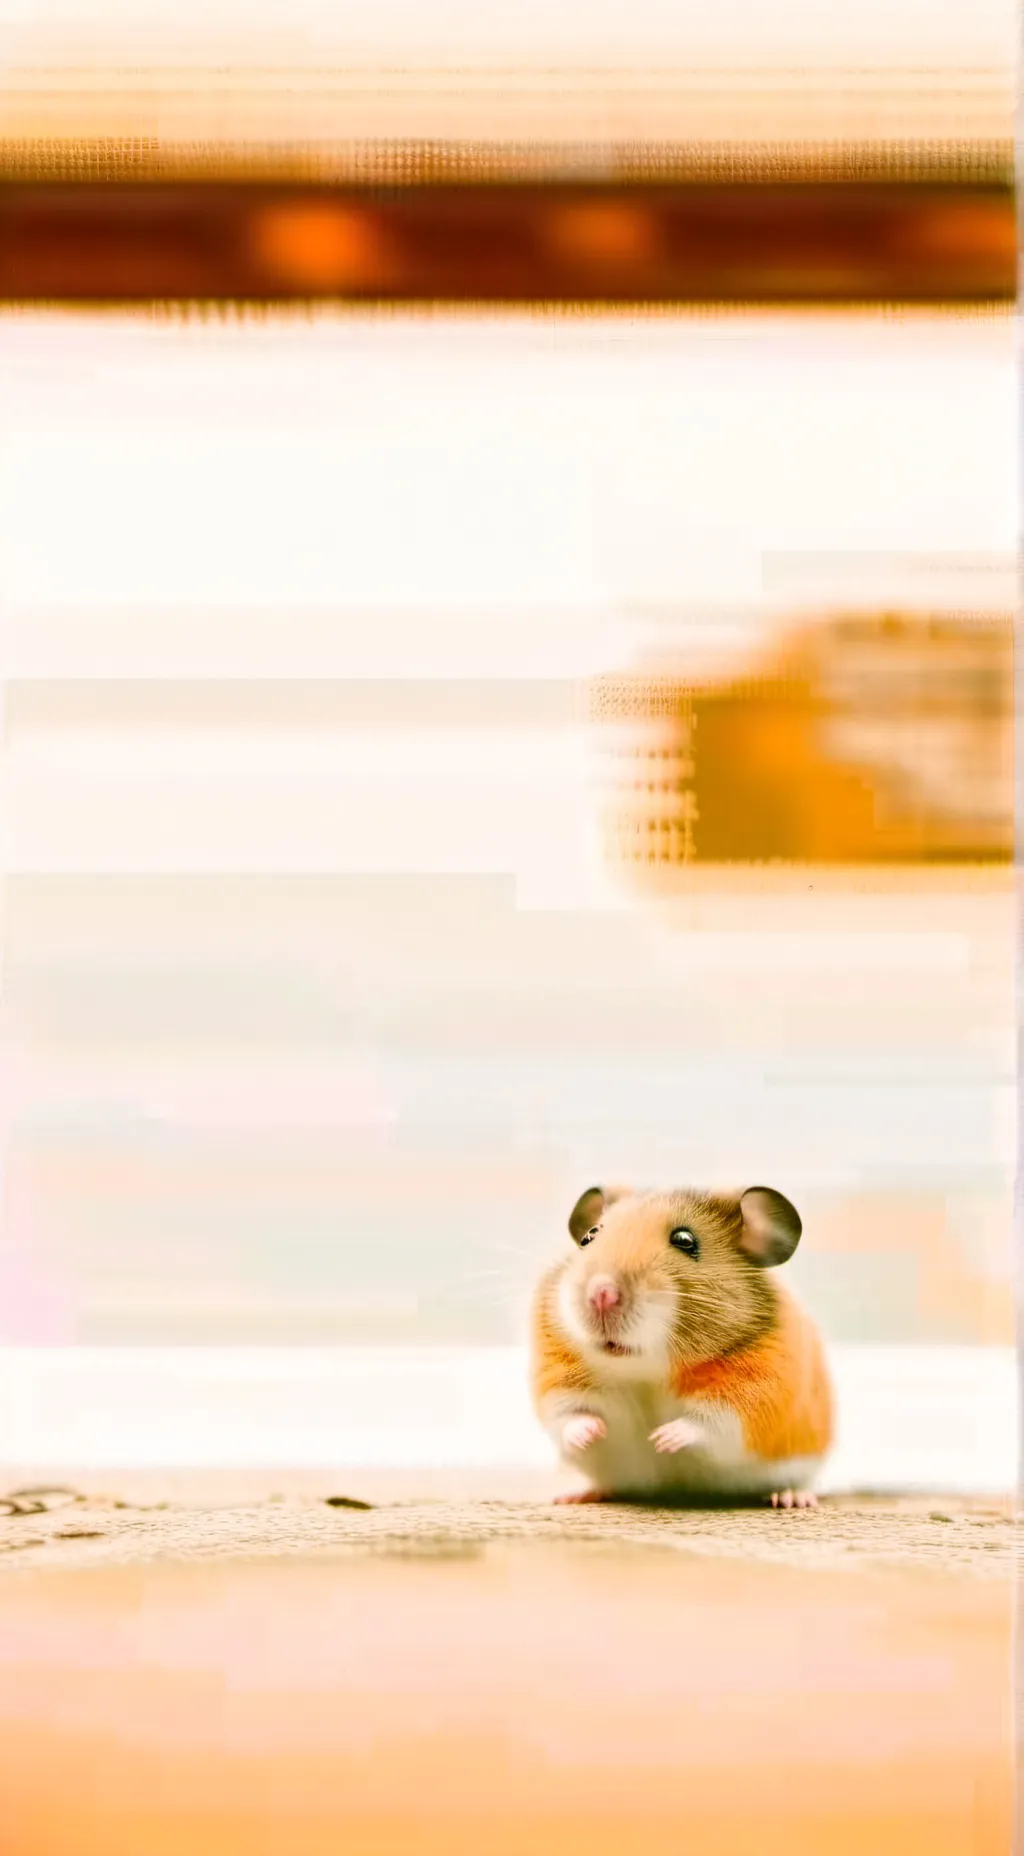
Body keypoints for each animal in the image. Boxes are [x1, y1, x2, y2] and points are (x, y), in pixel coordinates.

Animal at [531, 1182, 833, 1507]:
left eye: (684, 1240)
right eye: (589, 1237)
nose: (601, 1295)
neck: (643, 1370)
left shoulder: (756, 1392)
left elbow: (708, 1422)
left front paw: (662, 1438)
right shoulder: (556, 1376)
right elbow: (569, 1414)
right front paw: (594, 1432)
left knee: (800, 1482)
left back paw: (791, 1498)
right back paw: (577, 1495)